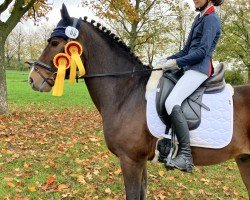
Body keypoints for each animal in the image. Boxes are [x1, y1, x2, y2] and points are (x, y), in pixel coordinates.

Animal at [28, 3, 249, 199]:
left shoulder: (130, 160)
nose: (33, 79)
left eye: (54, 43)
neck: (126, 93)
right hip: (244, 161)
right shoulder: (140, 162)